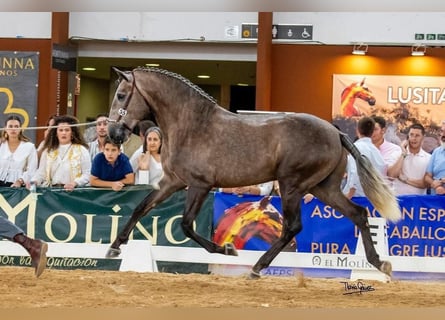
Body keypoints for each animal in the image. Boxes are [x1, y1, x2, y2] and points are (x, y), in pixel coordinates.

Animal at [106, 66, 400, 278]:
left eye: (121, 95)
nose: (113, 133)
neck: (191, 125)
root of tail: (336, 133)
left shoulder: (200, 185)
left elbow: (186, 224)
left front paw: (226, 249)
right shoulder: (173, 181)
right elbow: (141, 207)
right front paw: (114, 247)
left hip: (292, 185)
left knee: (293, 227)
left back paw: (258, 267)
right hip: (323, 187)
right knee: (358, 213)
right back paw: (379, 263)